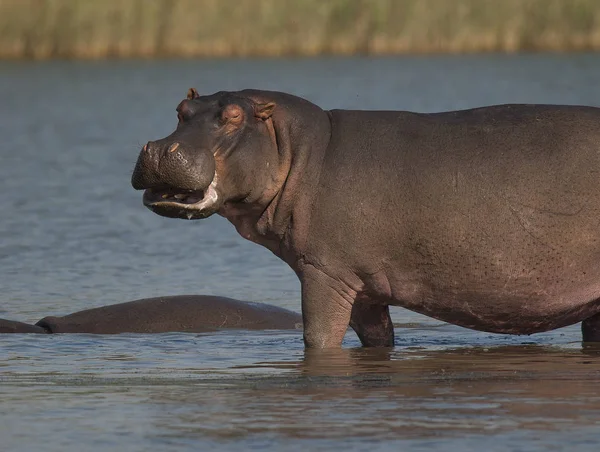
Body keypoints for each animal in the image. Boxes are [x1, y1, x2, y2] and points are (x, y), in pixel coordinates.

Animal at [131, 89, 600, 350]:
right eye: (181, 109)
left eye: (233, 117)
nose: (161, 148)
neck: (299, 149)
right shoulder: (363, 285)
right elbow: (378, 337)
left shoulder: (325, 272)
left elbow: (318, 338)